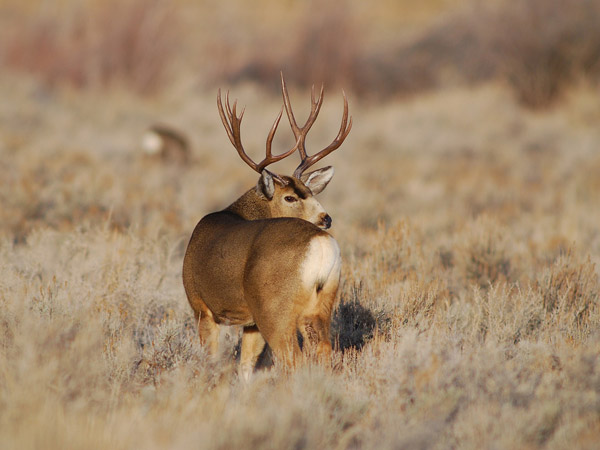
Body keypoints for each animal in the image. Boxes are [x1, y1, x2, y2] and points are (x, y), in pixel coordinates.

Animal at [183, 74, 352, 380]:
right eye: (292, 197)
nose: (326, 218)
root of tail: (321, 244)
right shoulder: (250, 321)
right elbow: (246, 367)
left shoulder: (201, 305)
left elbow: (212, 360)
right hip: (322, 304)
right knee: (323, 352)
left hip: (274, 309)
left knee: (293, 358)